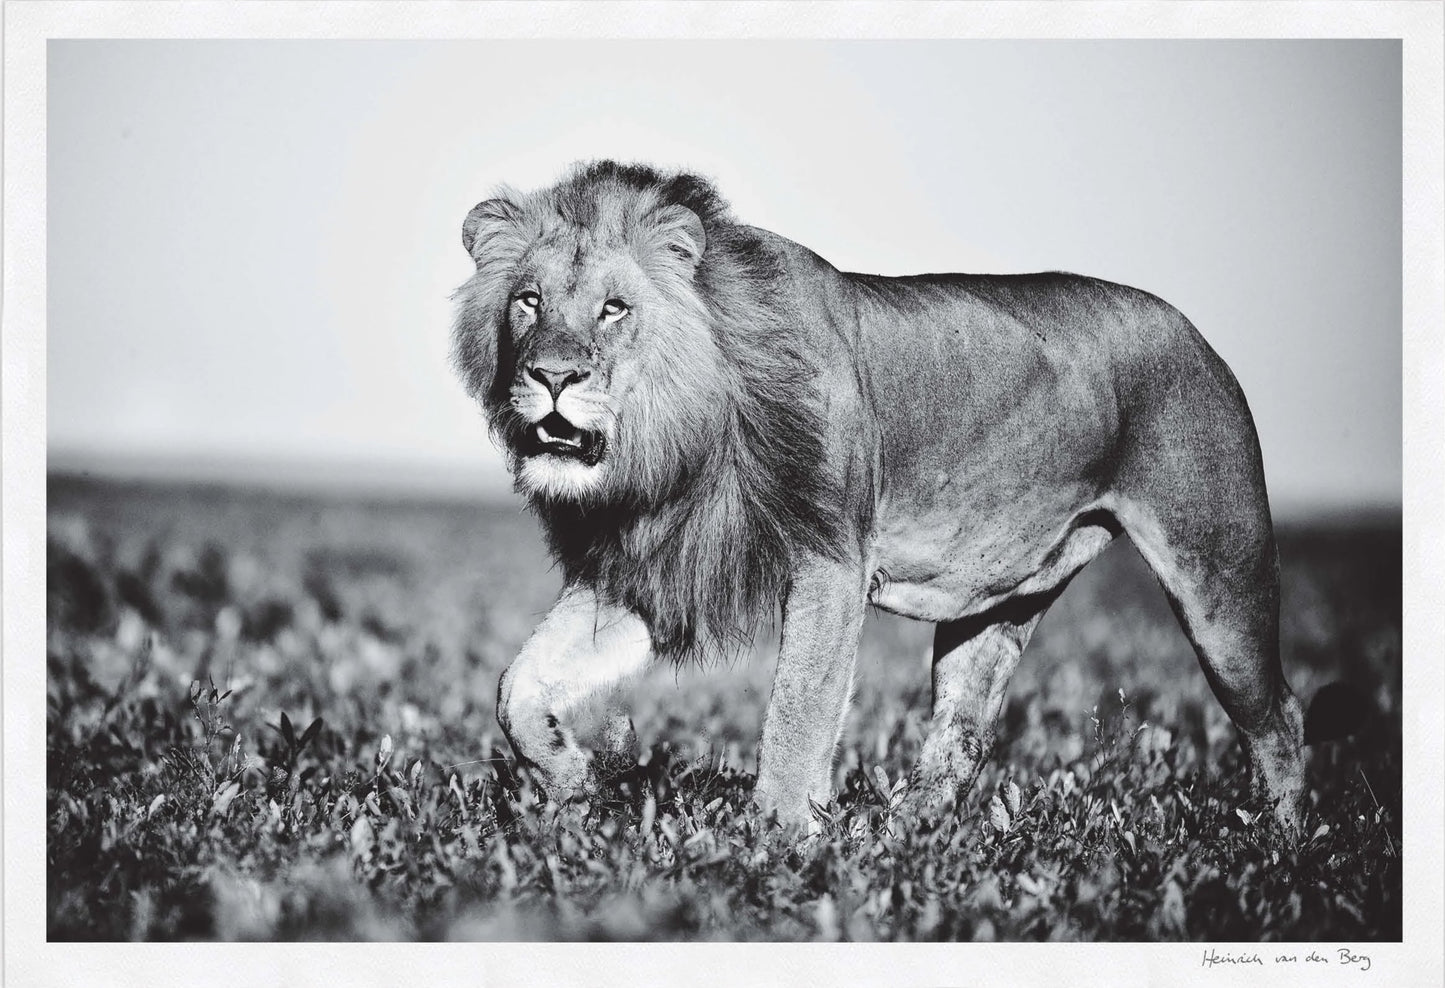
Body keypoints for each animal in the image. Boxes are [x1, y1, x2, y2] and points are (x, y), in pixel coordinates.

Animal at [451, 160, 1307, 833]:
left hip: (1220, 578)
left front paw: (778, 844)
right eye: (528, 301)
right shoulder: (652, 568)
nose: (552, 376)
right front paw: (575, 779)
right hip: (994, 606)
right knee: (961, 735)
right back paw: (905, 834)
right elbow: (515, 685)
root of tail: (1197, 335)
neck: (677, 442)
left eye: (614, 308)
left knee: (1281, 715)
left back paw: (1282, 844)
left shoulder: (829, 559)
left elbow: (797, 712)